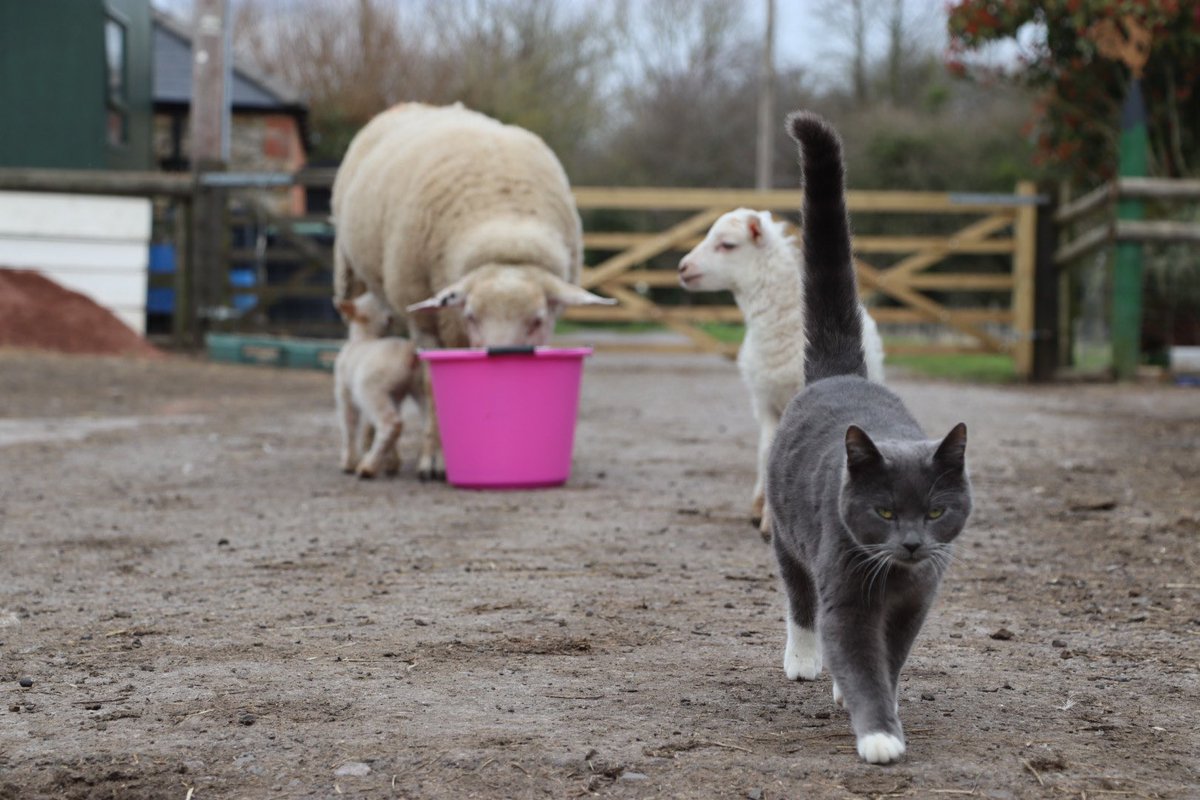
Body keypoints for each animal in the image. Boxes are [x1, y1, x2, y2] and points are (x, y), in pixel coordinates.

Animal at [333, 293, 422, 482]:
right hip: (418, 387)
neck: (364, 338)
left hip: (372, 389)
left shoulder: (343, 390)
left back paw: (367, 467)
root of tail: (408, 351)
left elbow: (349, 424)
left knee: (391, 423)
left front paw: (348, 463)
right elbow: (370, 425)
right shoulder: (395, 395)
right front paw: (391, 462)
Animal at [768, 110, 974, 762]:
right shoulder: (846, 590)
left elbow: (891, 657)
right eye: (883, 510)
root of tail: (840, 372)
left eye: (935, 511)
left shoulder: (917, 601)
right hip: (787, 533)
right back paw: (805, 659)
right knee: (799, 598)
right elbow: (856, 654)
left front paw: (882, 701)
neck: (896, 576)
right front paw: (879, 734)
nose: (910, 543)